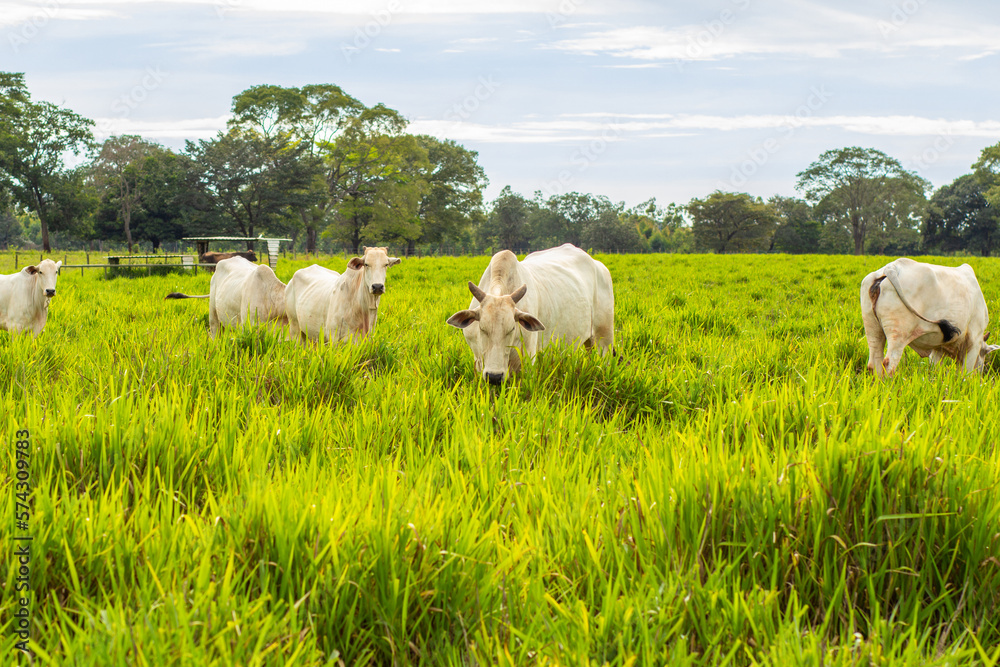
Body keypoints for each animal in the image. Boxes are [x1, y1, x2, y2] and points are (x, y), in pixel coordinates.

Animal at [448, 244, 616, 386]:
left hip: (604, 338)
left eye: (512, 329)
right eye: (482, 328)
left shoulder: (527, 361)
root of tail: (598, 265)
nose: (494, 377)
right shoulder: (478, 361)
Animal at [860, 258, 1000, 378]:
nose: (981, 374)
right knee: (889, 365)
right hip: (898, 335)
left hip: (873, 330)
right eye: (984, 352)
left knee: (874, 364)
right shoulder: (974, 339)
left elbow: (935, 369)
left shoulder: (938, 347)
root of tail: (891, 268)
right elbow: (966, 373)